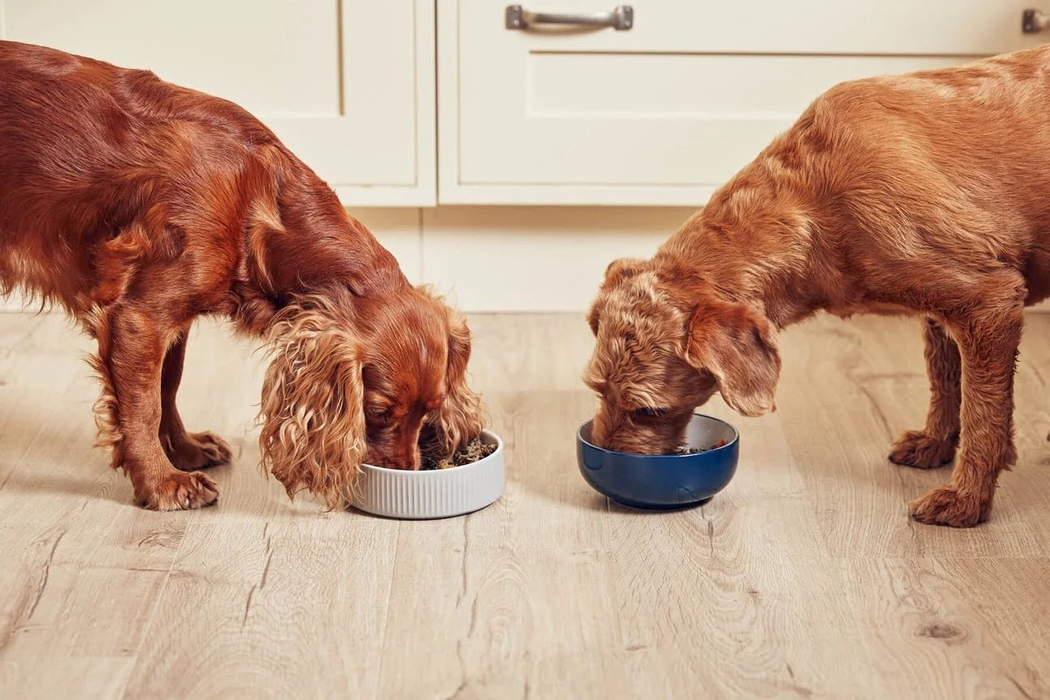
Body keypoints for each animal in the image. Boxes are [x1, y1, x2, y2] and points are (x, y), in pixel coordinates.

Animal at [0, 39, 482, 510]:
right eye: (378, 410)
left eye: (430, 409)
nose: (409, 471)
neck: (257, 202)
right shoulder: (138, 318)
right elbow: (143, 406)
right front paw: (162, 483)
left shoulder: (172, 318)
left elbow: (167, 385)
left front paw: (184, 450)